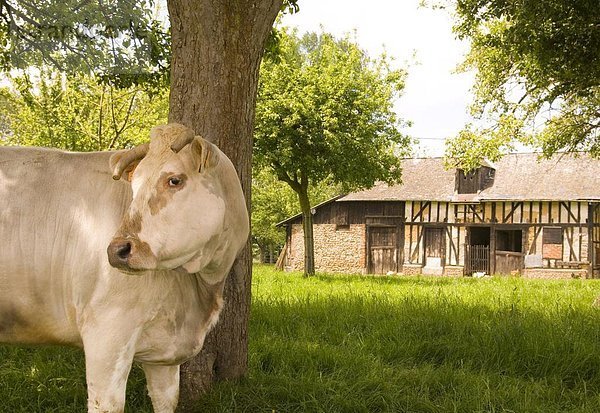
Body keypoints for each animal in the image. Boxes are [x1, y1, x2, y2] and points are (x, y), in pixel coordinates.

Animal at [0, 123, 248, 412]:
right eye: (135, 187)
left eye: (174, 180)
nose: (117, 250)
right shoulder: (106, 334)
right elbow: (107, 404)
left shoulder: (165, 355)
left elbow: (166, 399)